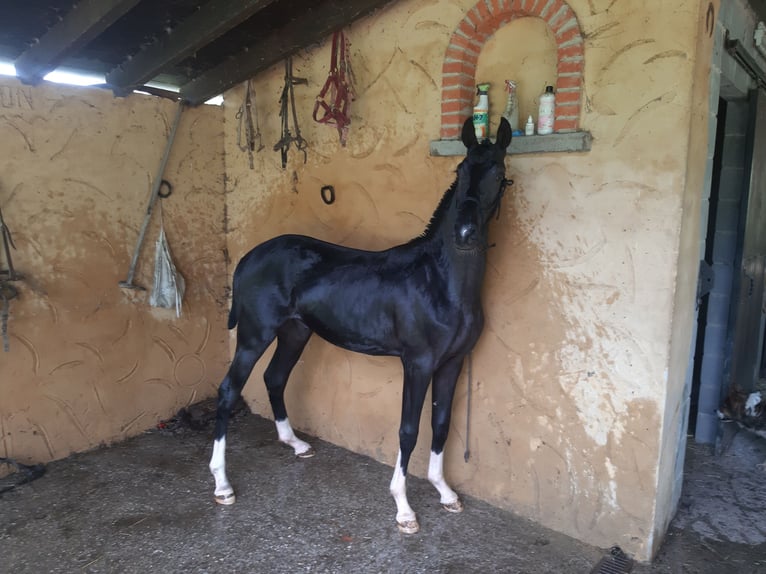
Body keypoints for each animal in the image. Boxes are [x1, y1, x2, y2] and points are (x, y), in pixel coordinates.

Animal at [209, 116, 513, 534]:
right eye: (461, 170)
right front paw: (404, 509)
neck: (440, 282)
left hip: (295, 332)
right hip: (255, 335)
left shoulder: (452, 363)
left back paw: (296, 444)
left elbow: (441, 423)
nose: (464, 234)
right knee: (228, 391)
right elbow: (408, 430)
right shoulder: (417, 364)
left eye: (497, 173)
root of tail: (249, 257)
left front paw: (445, 492)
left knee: (275, 377)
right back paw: (222, 484)